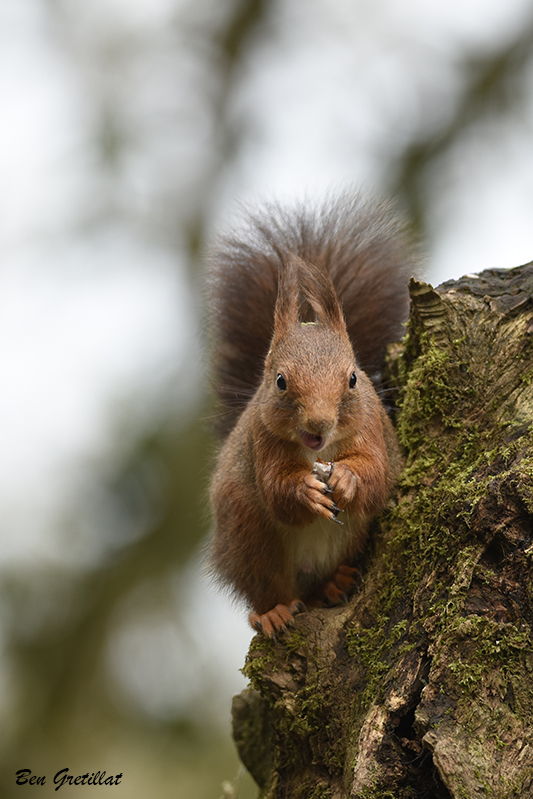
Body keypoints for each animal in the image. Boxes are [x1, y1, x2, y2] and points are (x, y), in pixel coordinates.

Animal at [204, 194, 416, 636]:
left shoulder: (370, 429)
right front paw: (305, 490)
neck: (320, 452)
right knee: (269, 586)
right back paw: (273, 612)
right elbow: (276, 490)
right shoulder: (262, 440)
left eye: (353, 378)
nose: (319, 424)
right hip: (247, 534)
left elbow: (375, 474)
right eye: (280, 381)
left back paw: (334, 583)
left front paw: (348, 478)